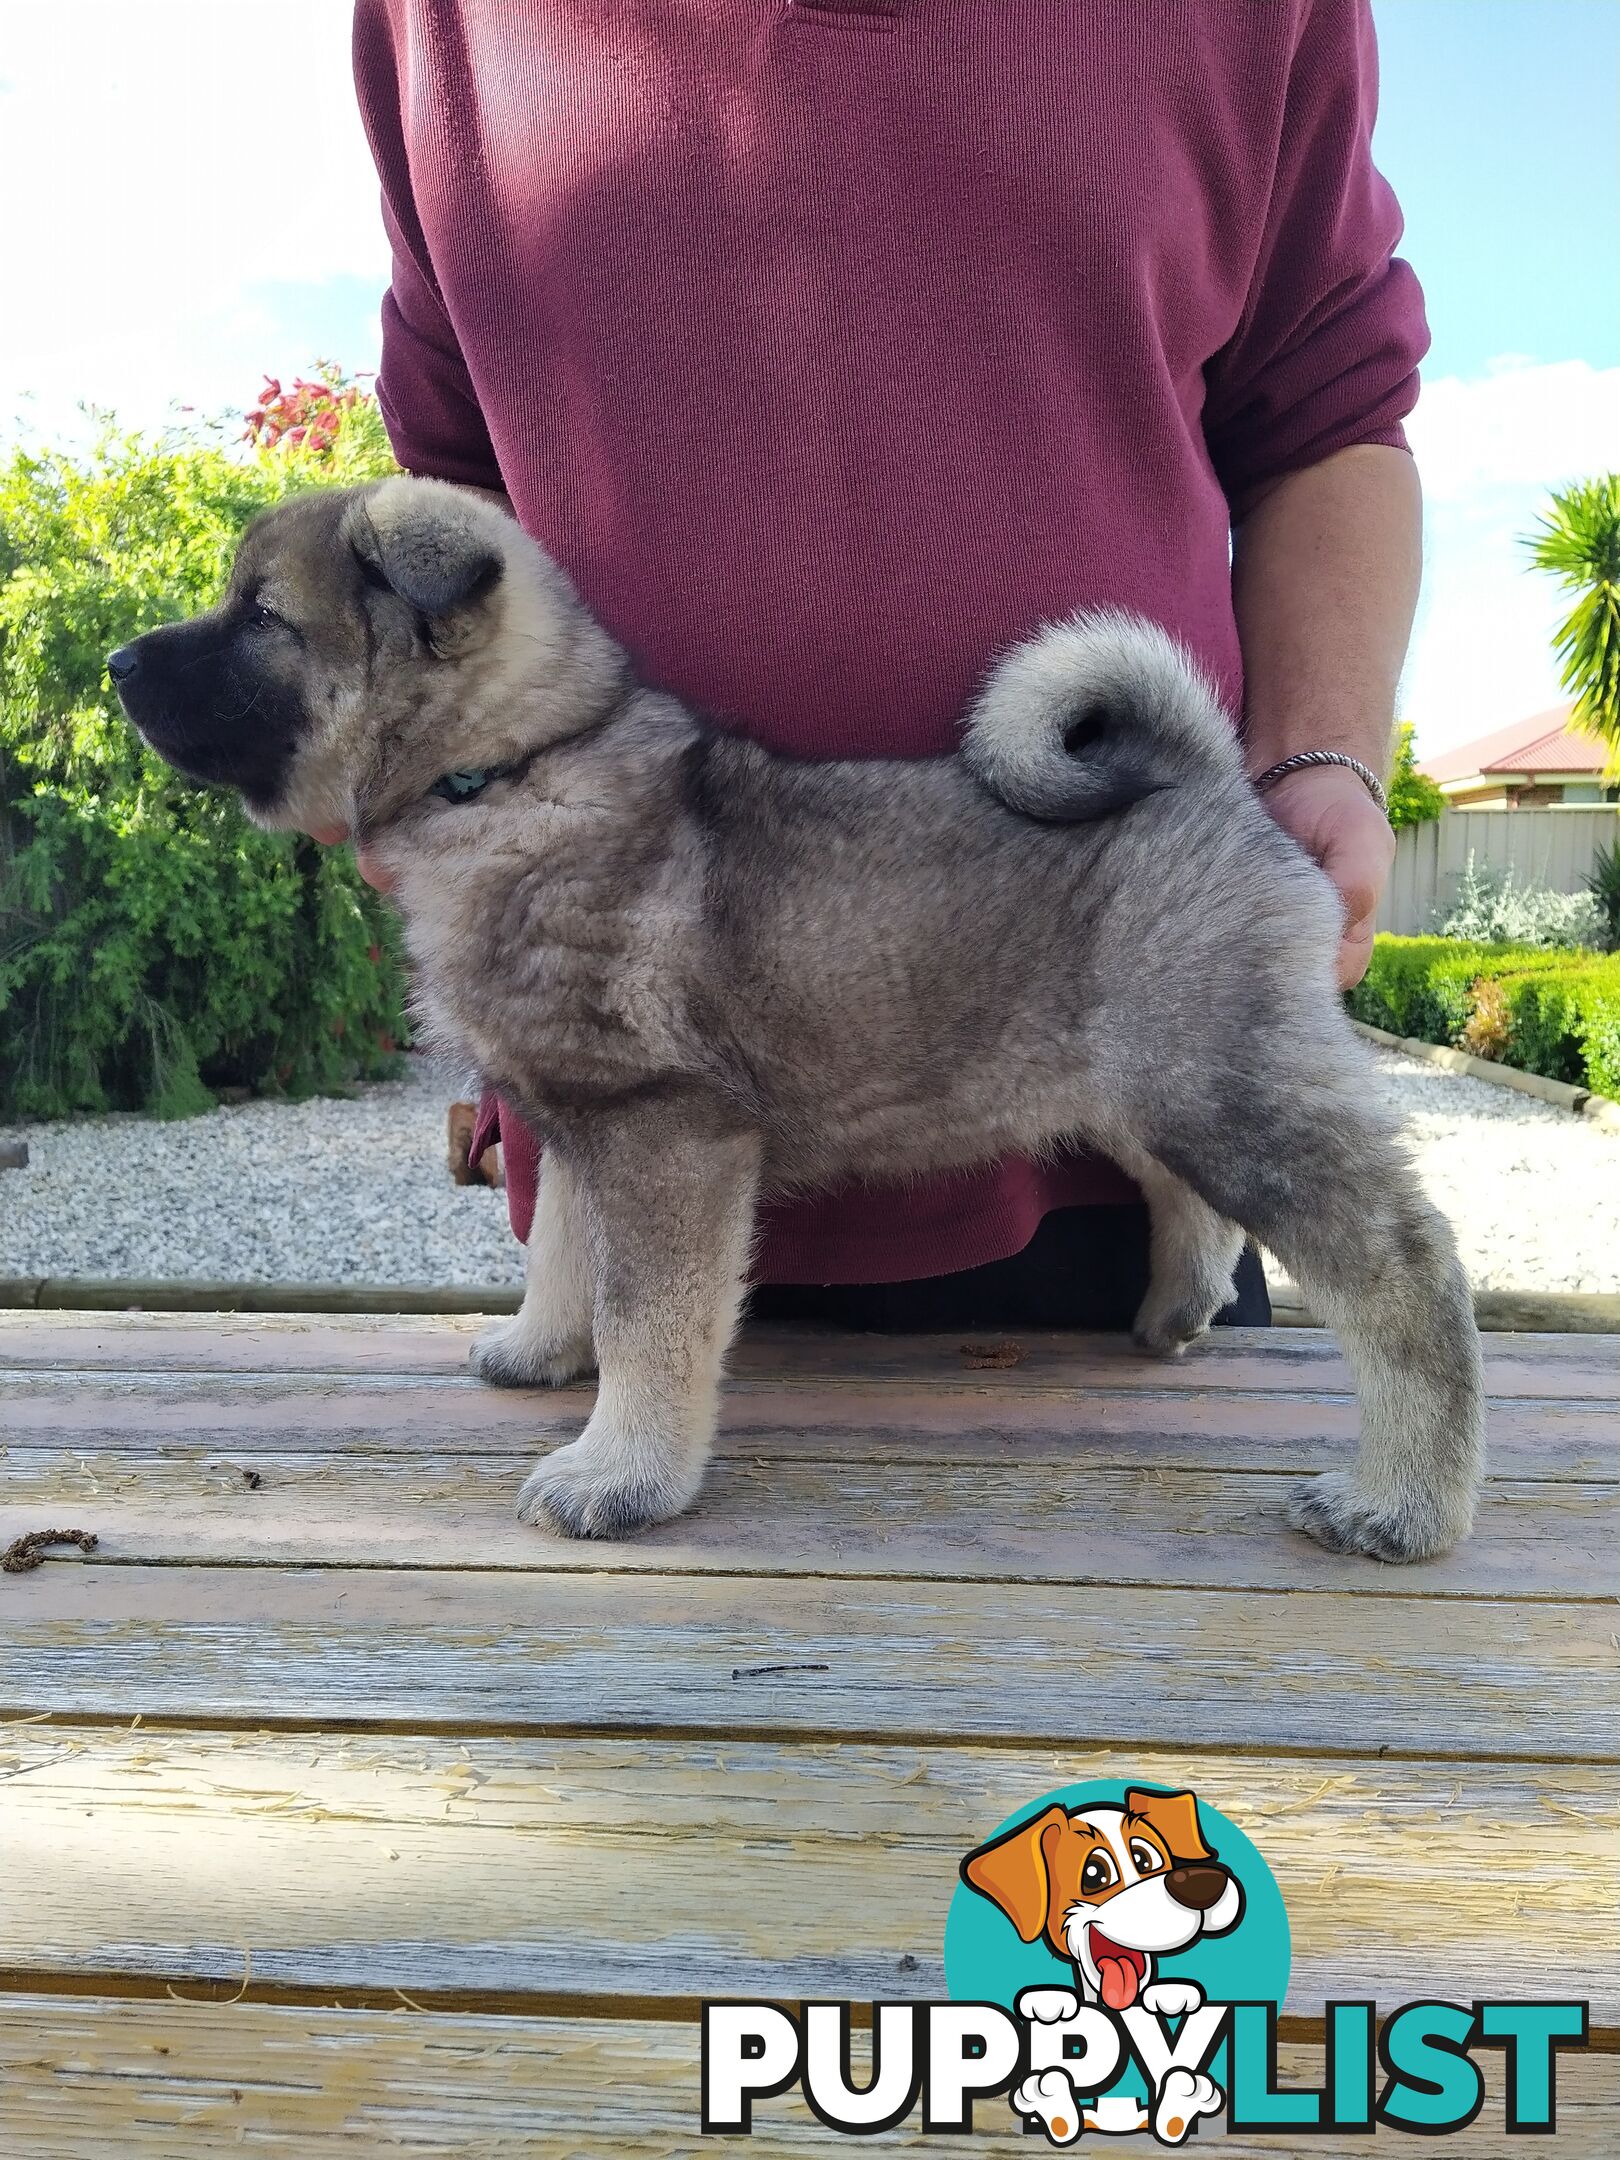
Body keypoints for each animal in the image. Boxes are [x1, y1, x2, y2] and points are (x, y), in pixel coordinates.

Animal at [111, 477, 1486, 1555]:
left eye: (262, 618)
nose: (118, 663)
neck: (509, 769)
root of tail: (1207, 784)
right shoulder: (580, 1117)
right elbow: (564, 1248)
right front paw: (540, 1351)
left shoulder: (666, 1133)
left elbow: (649, 1319)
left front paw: (620, 1475)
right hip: (1141, 1075)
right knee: (1180, 1191)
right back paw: (1177, 1312)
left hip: (1227, 1088)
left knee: (1403, 1276)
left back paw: (1404, 1503)